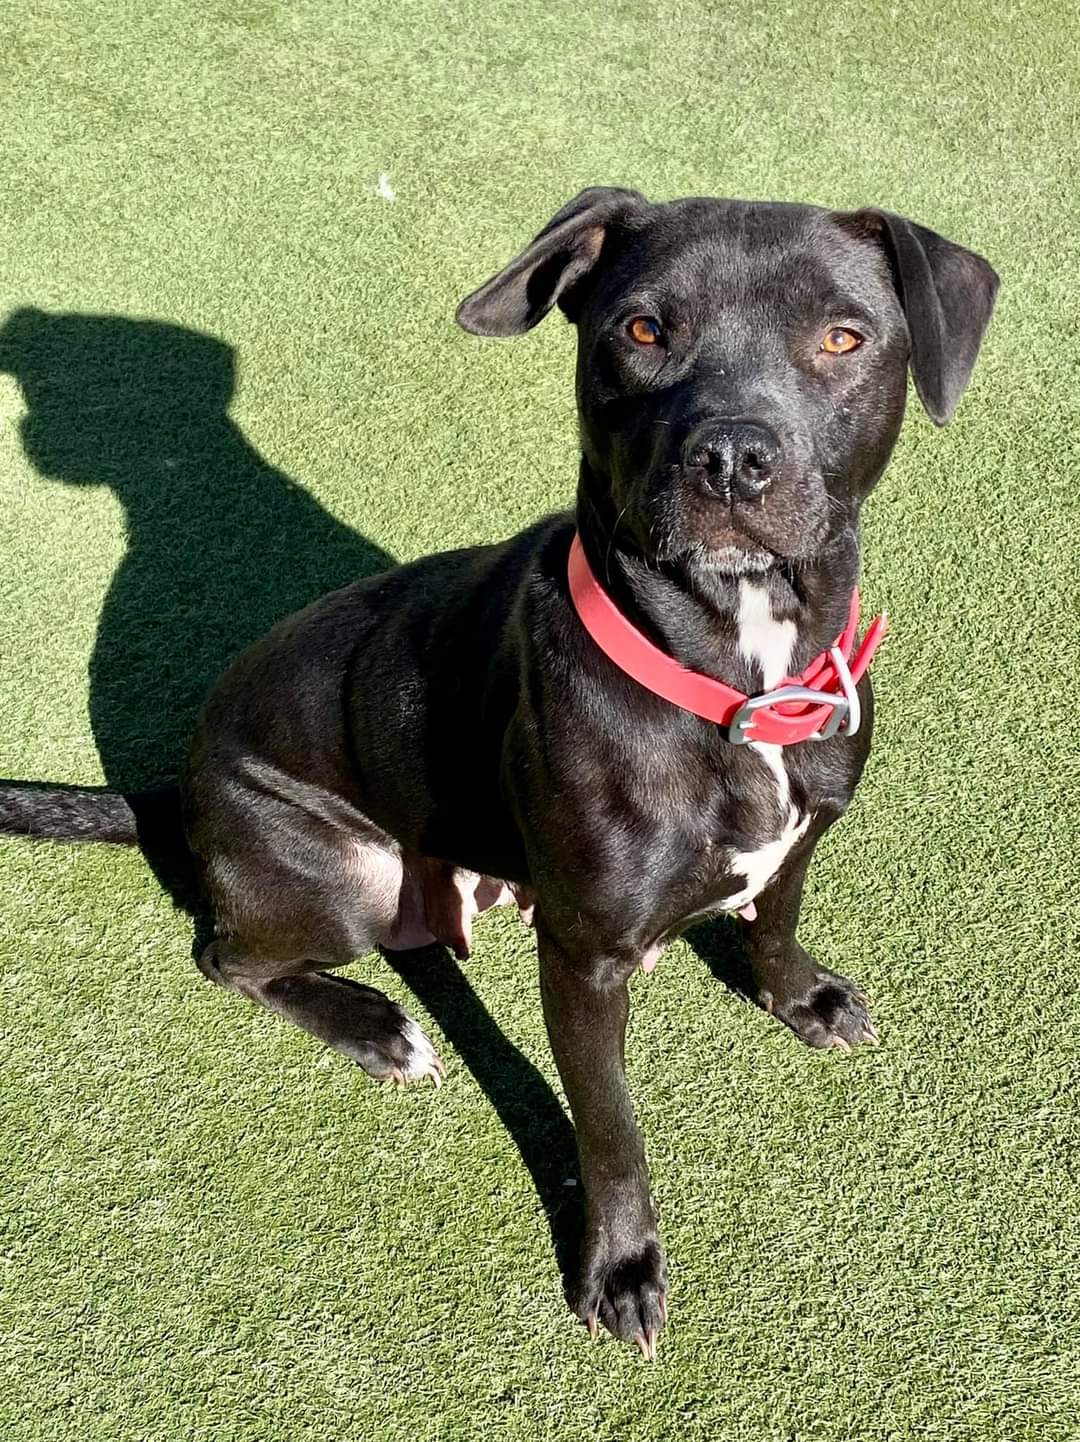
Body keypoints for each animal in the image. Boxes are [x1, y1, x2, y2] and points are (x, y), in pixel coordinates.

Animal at [0, 191, 992, 1361]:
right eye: (642, 329)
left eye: (843, 337)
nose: (732, 458)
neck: (739, 678)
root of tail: (182, 786)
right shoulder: (584, 961)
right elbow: (610, 1128)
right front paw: (620, 1264)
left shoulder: (803, 832)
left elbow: (775, 917)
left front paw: (798, 994)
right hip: (346, 876)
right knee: (226, 954)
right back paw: (376, 1027)